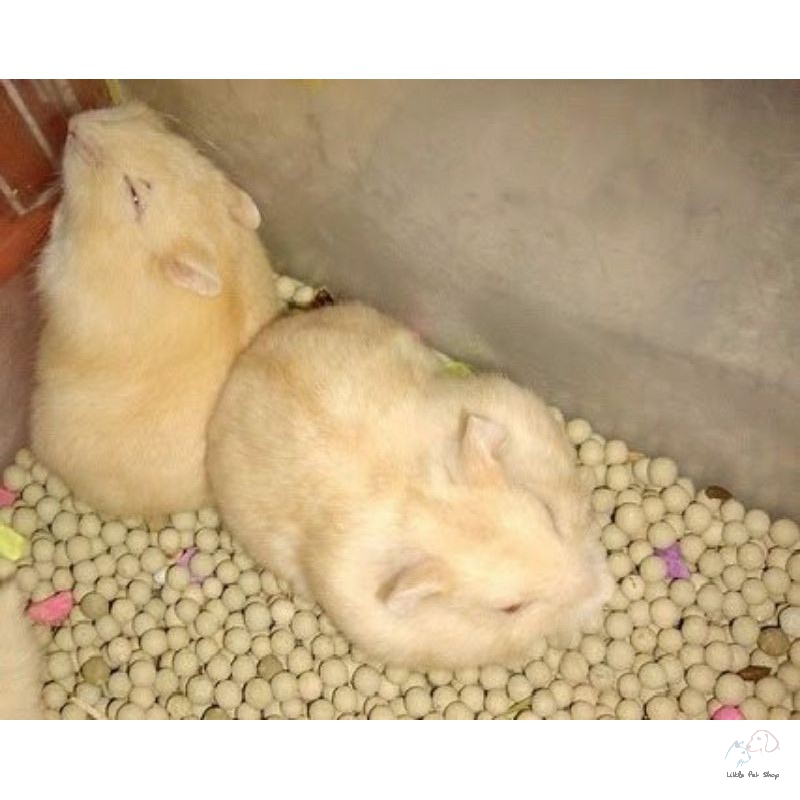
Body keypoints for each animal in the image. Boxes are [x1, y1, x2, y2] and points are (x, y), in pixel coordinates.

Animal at [31, 102, 279, 517]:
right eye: (155, 130)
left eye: (134, 195)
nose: (73, 124)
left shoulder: (62, 272)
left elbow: (53, 243)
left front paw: (59, 212)